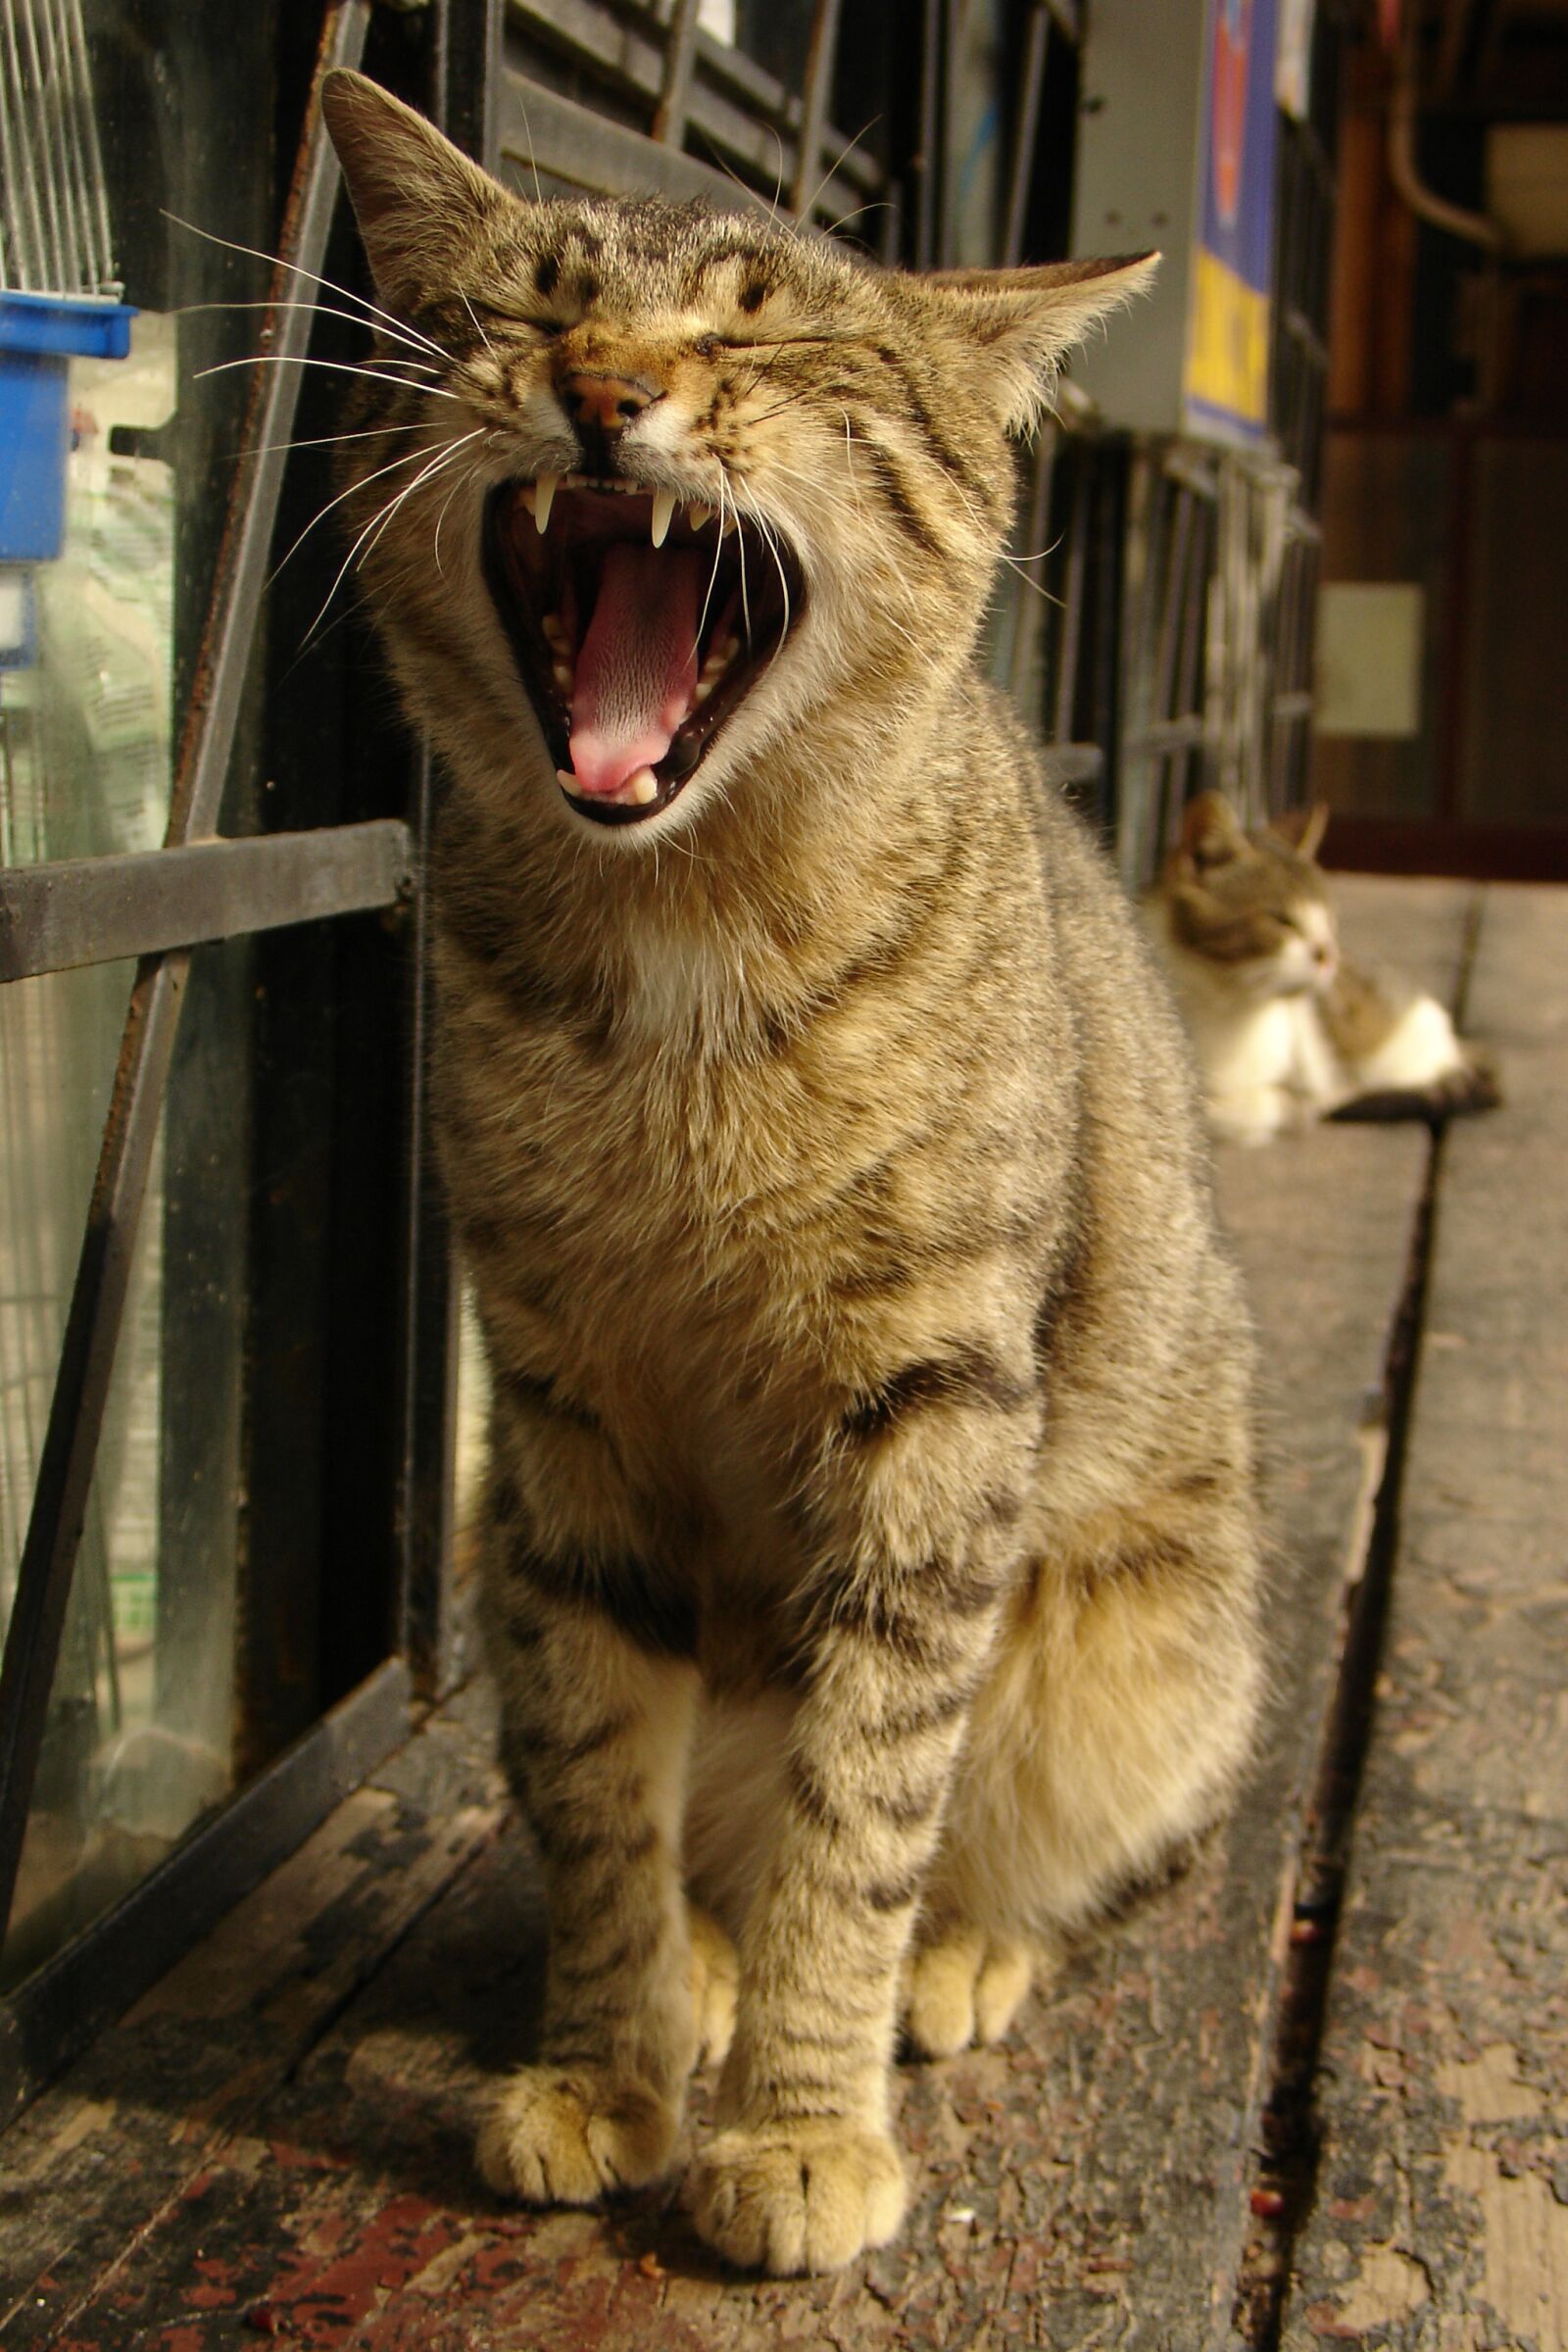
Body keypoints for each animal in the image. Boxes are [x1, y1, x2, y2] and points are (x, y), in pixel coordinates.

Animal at [324, 74, 1269, 2277]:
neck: (674, 943)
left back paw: (955, 1958)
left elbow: (869, 1803)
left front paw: (803, 2120)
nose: (605, 382)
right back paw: (699, 1968)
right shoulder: (557, 1406)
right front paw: (607, 2061)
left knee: (1018, 1847)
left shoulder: (937, 1414)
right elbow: (597, 1776)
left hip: (1145, 1646)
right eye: (531, 298)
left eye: (765, 339)